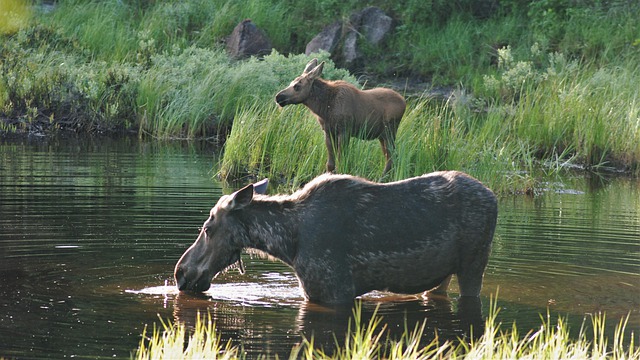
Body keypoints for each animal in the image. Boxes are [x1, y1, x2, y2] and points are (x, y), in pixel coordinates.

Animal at [175, 171, 500, 304]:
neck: (288, 245)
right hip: (442, 275)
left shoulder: (335, 289)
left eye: (208, 228)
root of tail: (494, 196)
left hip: (474, 264)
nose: (181, 272)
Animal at [276, 58, 404, 176]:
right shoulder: (328, 131)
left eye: (297, 86)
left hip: (389, 132)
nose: (278, 97)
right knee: (390, 156)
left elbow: (341, 160)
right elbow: (330, 164)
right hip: (382, 136)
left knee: (392, 156)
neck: (324, 108)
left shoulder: (344, 131)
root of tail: (404, 102)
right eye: (291, 82)